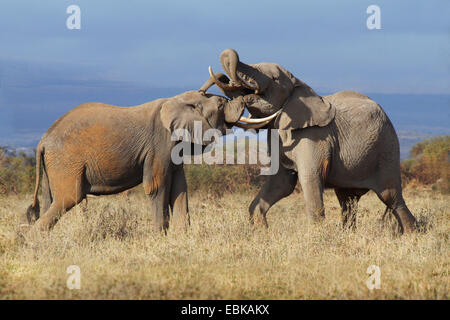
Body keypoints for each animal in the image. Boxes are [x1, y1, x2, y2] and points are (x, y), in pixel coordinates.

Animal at [24, 90, 246, 232]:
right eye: (221, 105)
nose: (245, 99)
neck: (179, 100)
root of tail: (43, 140)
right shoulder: (160, 143)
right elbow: (156, 187)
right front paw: (160, 238)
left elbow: (180, 188)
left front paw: (183, 238)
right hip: (66, 161)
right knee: (68, 198)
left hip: (53, 165)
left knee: (50, 201)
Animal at [201, 48, 418, 232]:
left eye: (273, 79)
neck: (299, 85)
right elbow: (282, 183)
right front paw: (261, 230)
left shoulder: (313, 137)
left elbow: (310, 178)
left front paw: (318, 237)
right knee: (347, 200)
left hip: (387, 148)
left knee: (391, 197)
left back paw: (411, 235)